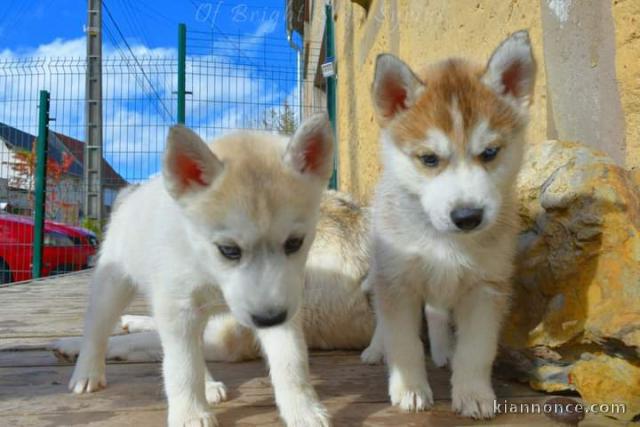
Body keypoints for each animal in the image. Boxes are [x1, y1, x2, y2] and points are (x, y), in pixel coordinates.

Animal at [68, 114, 340, 427]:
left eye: (295, 243)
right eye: (229, 250)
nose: (268, 320)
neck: (206, 268)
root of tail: (132, 193)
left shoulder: (283, 301)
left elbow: (291, 359)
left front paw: (303, 409)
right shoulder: (178, 310)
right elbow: (183, 366)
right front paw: (190, 413)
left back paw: (208, 385)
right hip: (112, 285)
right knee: (96, 329)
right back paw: (87, 373)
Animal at [364, 31, 536, 420]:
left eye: (490, 153)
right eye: (429, 159)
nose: (467, 216)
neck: (444, 240)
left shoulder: (486, 288)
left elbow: (476, 349)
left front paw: (473, 393)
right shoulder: (397, 282)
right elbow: (404, 343)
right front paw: (410, 388)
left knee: (437, 313)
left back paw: (443, 352)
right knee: (385, 320)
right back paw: (376, 349)